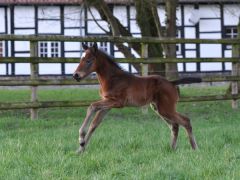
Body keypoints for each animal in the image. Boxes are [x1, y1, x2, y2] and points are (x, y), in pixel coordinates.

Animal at [73, 42, 201, 153]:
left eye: (89, 60)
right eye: (81, 59)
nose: (76, 75)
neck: (113, 79)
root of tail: (171, 83)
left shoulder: (117, 102)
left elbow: (92, 106)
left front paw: (81, 139)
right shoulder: (107, 104)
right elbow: (95, 124)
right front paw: (80, 149)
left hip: (166, 109)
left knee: (185, 121)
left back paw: (195, 148)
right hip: (159, 108)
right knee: (175, 125)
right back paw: (172, 149)